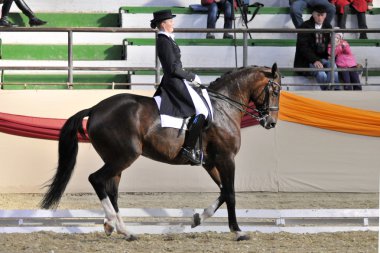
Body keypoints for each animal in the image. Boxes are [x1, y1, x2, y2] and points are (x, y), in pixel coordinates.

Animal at [40, 63, 282, 241]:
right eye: (276, 90)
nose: (271, 122)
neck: (223, 108)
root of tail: (96, 108)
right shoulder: (226, 158)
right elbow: (230, 193)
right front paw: (238, 231)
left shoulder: (211, 162)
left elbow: (223, 191)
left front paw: (197, 218)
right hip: (124, 157)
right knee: (96, 179)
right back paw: (114, 224)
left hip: (115, 159)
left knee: (111, 190)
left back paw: (121, 229)